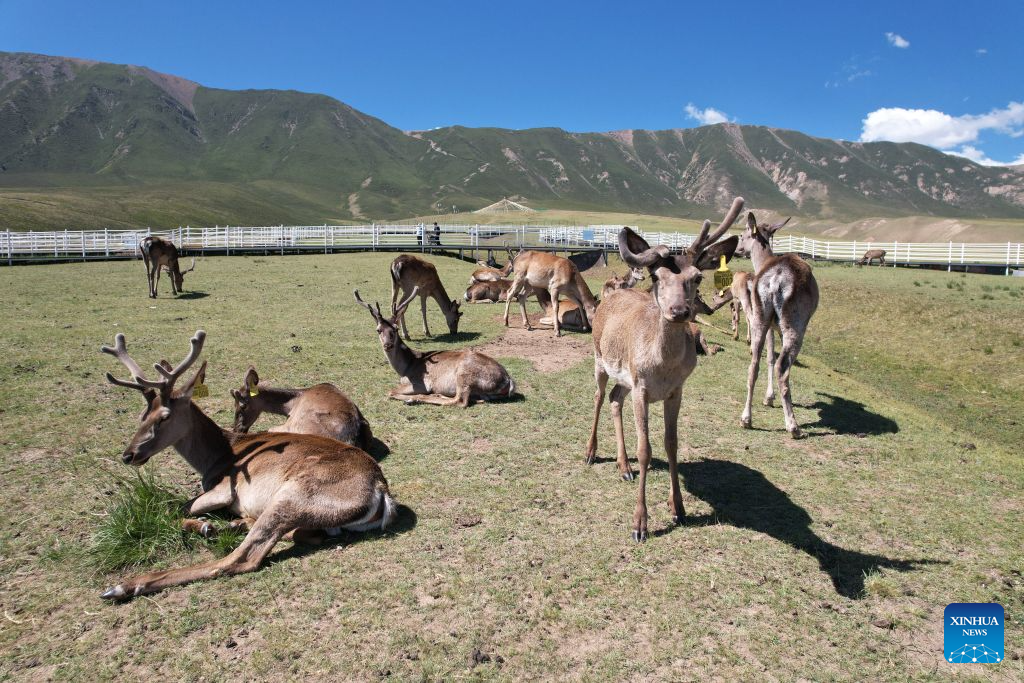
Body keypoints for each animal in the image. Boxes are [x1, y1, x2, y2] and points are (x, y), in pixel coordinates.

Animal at [355, 288, 515, 407]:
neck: (405, 368)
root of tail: (508, 381)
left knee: (460, 401)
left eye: (395, 329)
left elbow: (390, 392)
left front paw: (411, 397)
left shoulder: (420, 382)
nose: (388, 345)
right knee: (477, 399)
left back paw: (416, 399)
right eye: (378, 330)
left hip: (465, 374)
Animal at [584, 197, 744, 541]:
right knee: (599, 397)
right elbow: (646, 449)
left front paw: (678, 507)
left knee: (615, 399)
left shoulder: (675, 391)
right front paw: (639, 524)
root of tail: (610, 296)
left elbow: (672, 445)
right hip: (600, 358)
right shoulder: (642, 389)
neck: (663, 366)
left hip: (625, 379)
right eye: (657, 277)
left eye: (697, 277)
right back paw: (590, 452)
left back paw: (624, 467)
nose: (679, 310)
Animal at [735, 212, 819, 438]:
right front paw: (771, 398)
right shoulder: (778, 327)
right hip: (794, 324)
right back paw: (793, 425)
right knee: (783, 366)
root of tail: (775, 279)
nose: (738, 249)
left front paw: (768, 398)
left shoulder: (770, 325)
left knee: (753, 363)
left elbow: (769, 357)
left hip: (760, 316)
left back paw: (746, 419)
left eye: (742, 235)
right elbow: (774, 359)